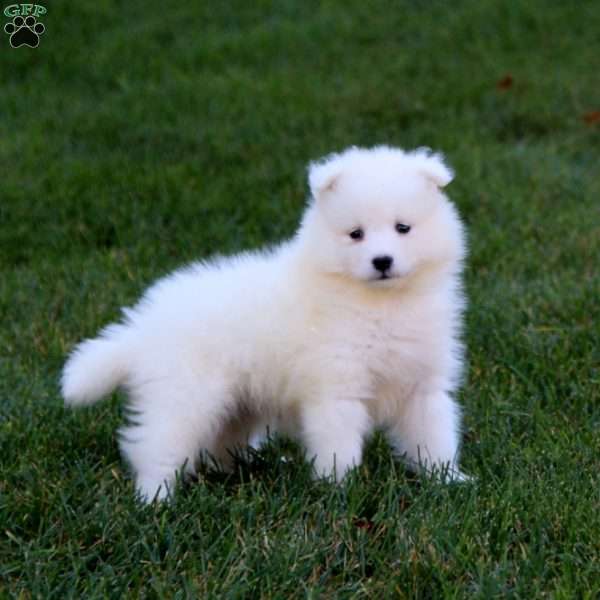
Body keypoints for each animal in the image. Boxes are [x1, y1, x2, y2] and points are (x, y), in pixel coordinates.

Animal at [64, 145, 468, 502]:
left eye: (403, 228)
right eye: (356, 234)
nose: (382, 260)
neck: (381, 304)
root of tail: (143, 326)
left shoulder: (423, 385)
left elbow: (434, 434)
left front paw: (447, 479)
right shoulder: (336, 388)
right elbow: (338, 444)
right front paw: (341, 489)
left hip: (234, 403)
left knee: (220, 440)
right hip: (184, 395)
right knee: (156, 445)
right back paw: (154, 499)